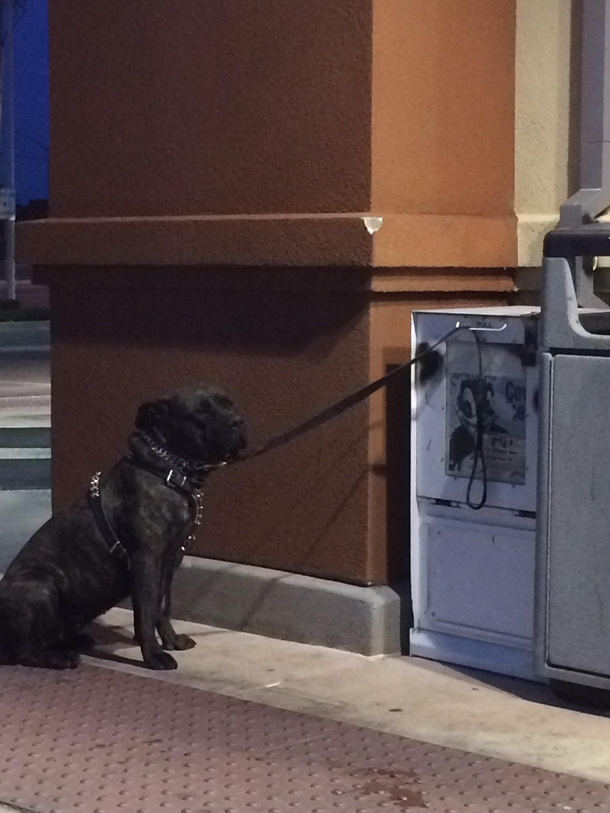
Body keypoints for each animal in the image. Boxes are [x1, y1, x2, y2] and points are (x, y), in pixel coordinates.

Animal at [0, 384, 245, 668]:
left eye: (230, 404)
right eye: (202, 412)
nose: (238, 422)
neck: (169, 468)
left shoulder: (169, 562)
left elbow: (163, 606)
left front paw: (171, 640)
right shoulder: (146, 561)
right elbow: (146, 613)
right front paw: (154, 655)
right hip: (41, 584)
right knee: (22, 651)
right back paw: (60, 658)